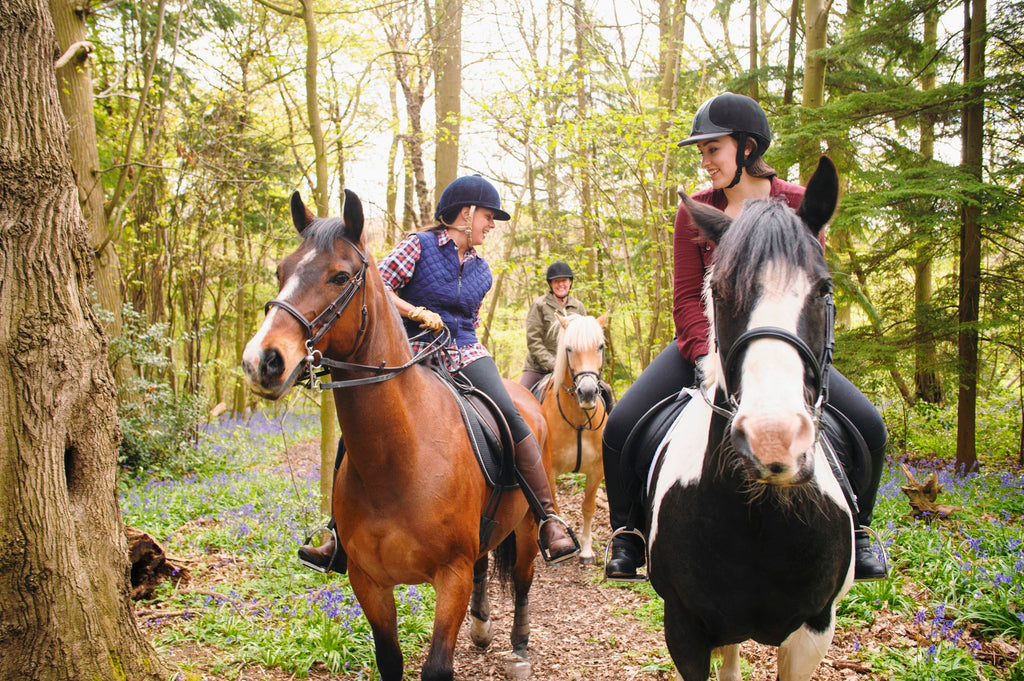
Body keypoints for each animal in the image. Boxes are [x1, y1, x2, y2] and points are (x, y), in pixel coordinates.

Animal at [243, 191, 552, 679]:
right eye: (281, 270)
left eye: (340, 276)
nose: (263, 361)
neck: (400, 459)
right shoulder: (367, 580)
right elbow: (389, 660)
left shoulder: (450, 575)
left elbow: (437, 667)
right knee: (485, 564)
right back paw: (482, 629)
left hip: (524, 526)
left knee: (522, 581)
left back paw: (519, 648)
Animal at [536, 313, 606, 561]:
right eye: (568, 348)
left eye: (600, 346)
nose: (587, 393)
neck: (578, 420)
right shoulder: (550, 471)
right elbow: (555, 507)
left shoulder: (596, 470)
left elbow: (588, 506)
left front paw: (586, 549)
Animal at [647, 156, 856, 675]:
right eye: (718, 290)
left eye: (823, 288)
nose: (773, 439)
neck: (759, 521)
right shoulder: (684, 629)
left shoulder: (814, 631)